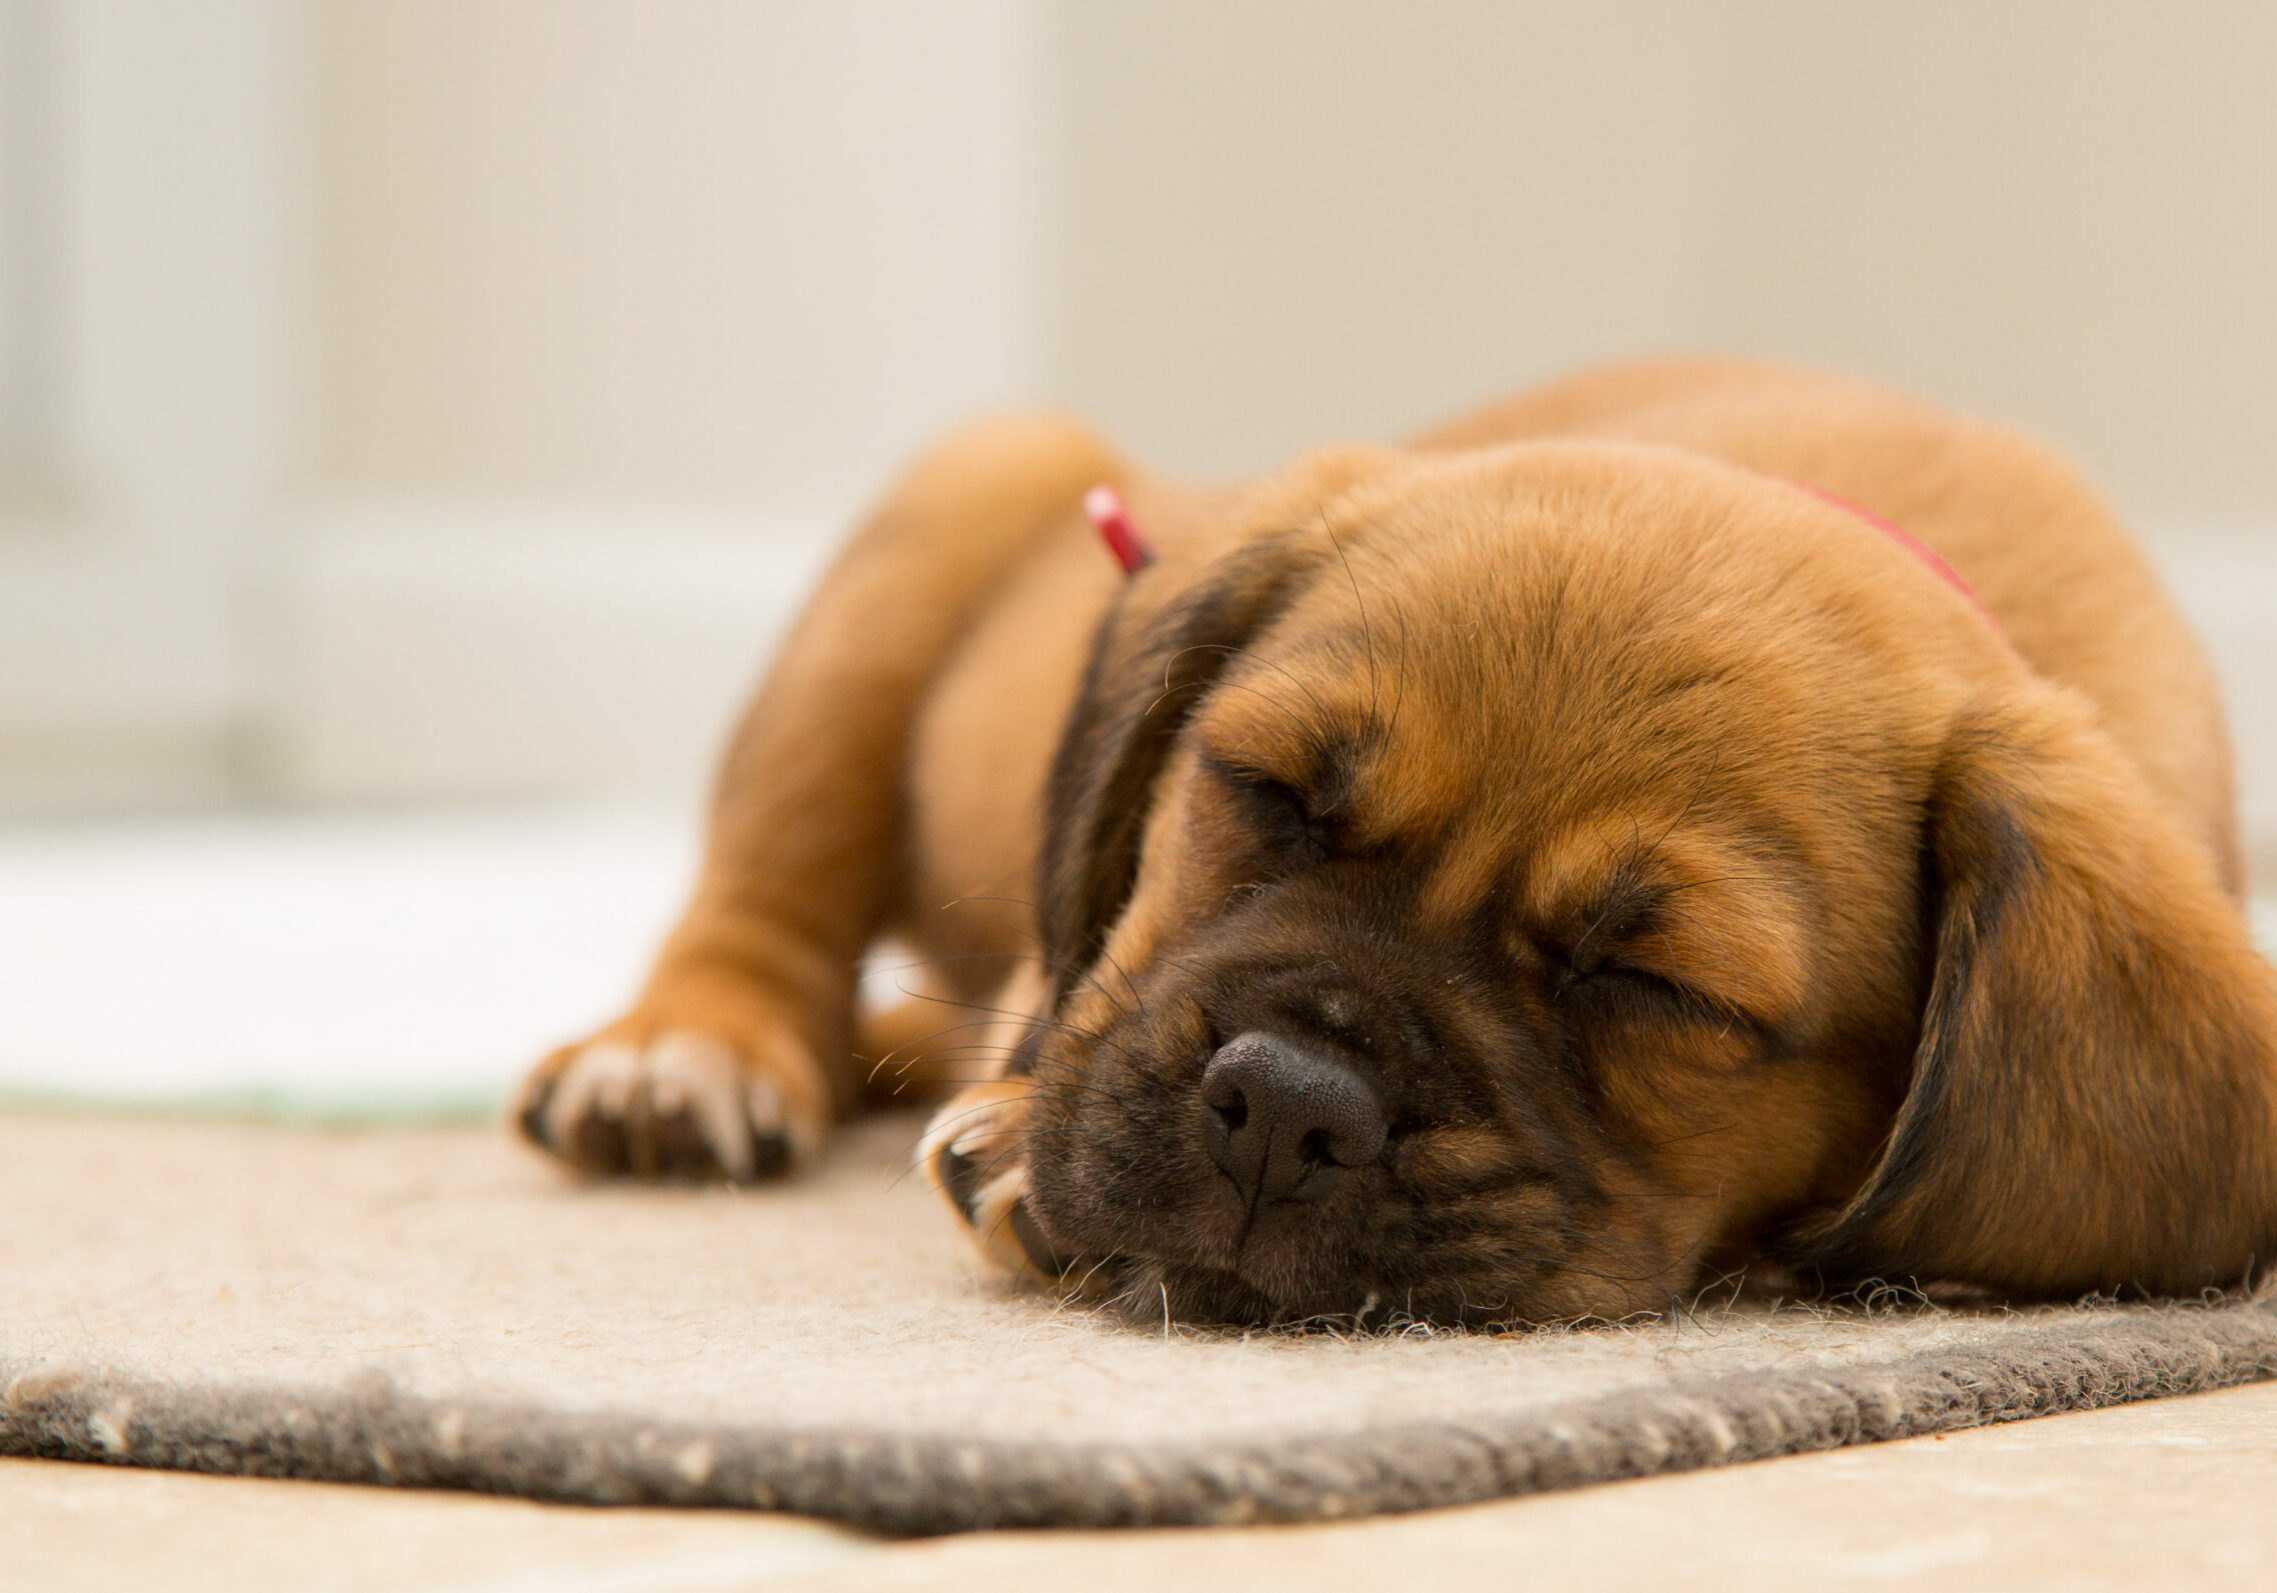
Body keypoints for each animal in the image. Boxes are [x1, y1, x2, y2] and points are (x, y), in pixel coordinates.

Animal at [516, 364, 2277, 1329]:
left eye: (1659, 986)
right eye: (1264, 790)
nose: (1285, 1106)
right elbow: (1060, 992)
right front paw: (1016, 1126)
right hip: (955, 509)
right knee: (769, 898)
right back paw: (686, 1051)